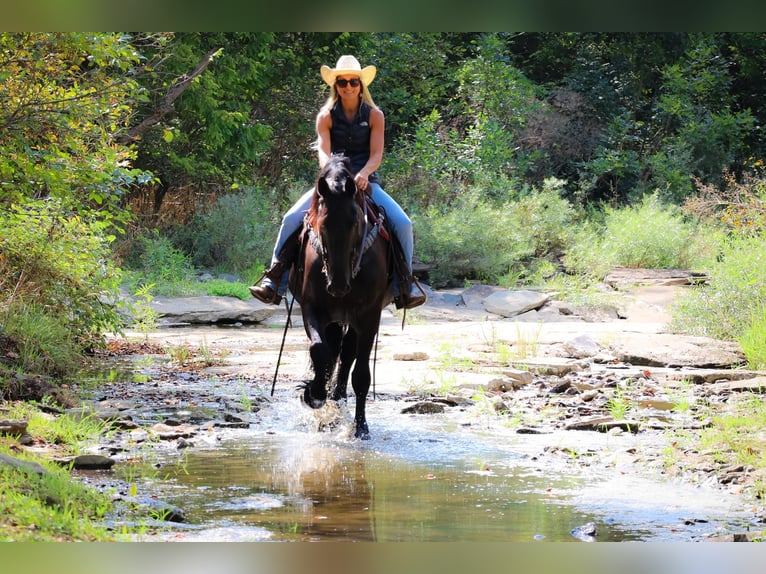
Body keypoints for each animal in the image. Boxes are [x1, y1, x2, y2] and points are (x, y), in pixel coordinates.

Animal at [289, 155, 393, 440]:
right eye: (322, 224)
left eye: (355, 222)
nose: (338, 284)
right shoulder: (312, 309)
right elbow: (319, 350)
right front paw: (313, 395)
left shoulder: (369, 316)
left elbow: (361, 374)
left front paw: (361, 427)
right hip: (336, 317)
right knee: (335, 350)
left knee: (347, 355)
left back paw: (338, 403)